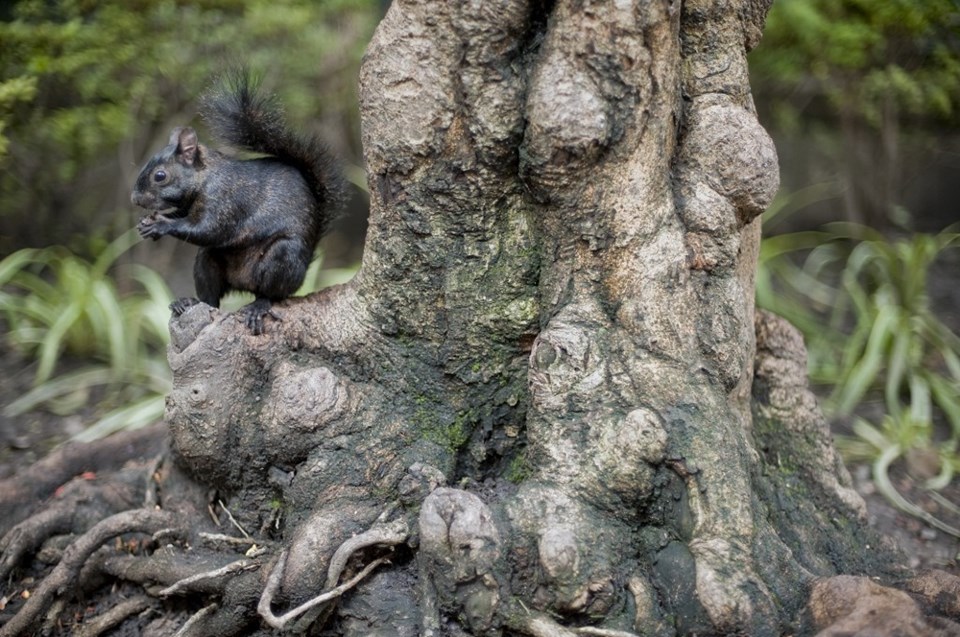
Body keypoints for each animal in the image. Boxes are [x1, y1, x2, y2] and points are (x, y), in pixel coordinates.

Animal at [131, 71, 344, 332]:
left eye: (160, 176)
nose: (135, 198)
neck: (207, 176)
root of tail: (244, 284)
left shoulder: (226, 201)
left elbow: (207, 229)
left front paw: (159, 225)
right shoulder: (188, 206)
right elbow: (184, 218)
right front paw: (147, 223)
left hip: (282, 258)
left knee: (271, 294)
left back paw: (258, 306)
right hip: (207, 263)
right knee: (211, 299)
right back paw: (189, 302)